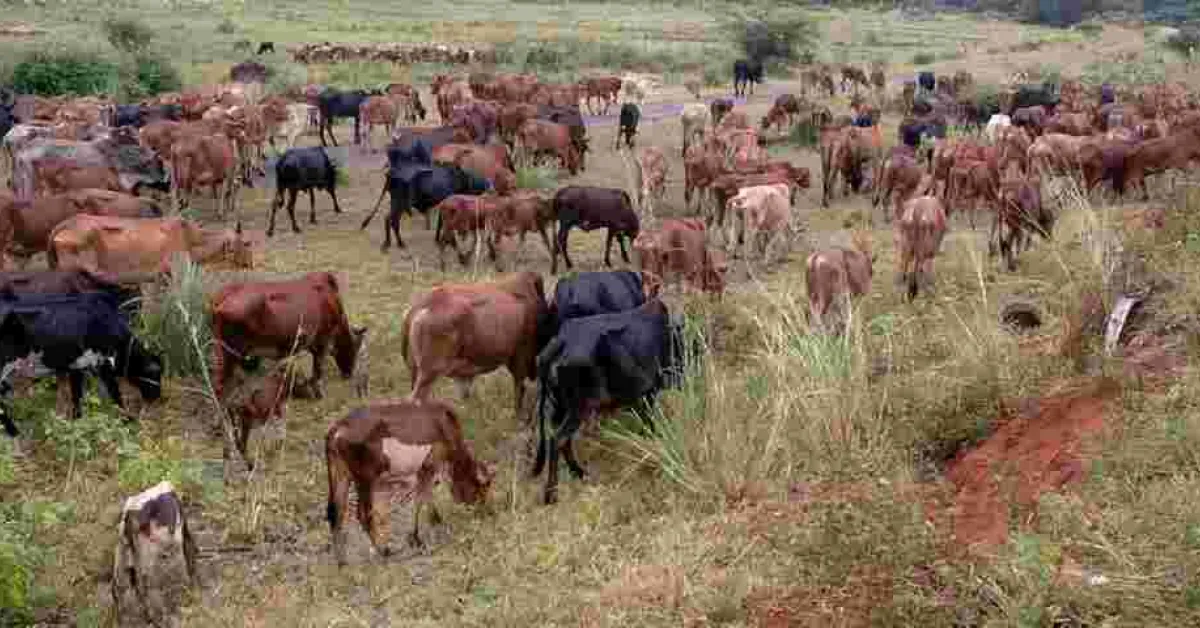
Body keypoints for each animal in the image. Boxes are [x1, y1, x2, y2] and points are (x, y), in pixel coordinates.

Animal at [0, 291, 163, 430]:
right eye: (155, 374)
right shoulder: (102, 364)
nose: (158, 397)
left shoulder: (78, 367)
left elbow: (76, 396)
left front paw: (76, 419)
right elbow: (114, 394)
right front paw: (127, 419)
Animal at [209, 272, 368, 402]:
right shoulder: (322, 340)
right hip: (229, 355)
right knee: (219, 388)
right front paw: (318, 394)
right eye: (355, 347)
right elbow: (317, 371)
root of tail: (219, 303)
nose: (348, 374)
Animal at [325, 399, 494, 565]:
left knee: (336, 512)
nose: (488, 512)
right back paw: (384, 551)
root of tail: (337, 428)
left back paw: (342, 561)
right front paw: (423, 533)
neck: (446, 425)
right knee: (363, 514)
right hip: (365, 479)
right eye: (483, 488)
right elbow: (421, 499)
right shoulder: (428, 465)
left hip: (341, 474)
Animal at [534, 298, 682, 504]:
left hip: (561, 406)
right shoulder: (647, 394)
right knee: (558, 439)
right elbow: (650, 426)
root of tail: (561, 342)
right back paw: (552, 493)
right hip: (580, 407)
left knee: (562, 440)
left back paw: (579, 473)